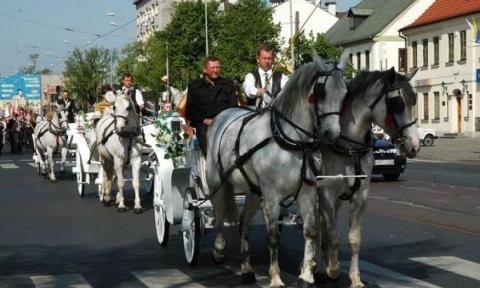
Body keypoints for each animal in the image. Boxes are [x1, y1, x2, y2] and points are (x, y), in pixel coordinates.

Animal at [206, 54, 348, 288]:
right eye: (321, 92)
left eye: (345, 92)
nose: (332, 134)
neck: (292, 141)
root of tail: (224, 114)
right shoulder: (271, 195)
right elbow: (273, 237)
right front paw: (275, 278)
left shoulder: (307, 192)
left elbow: (310, 231)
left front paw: (306, 276)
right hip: (218, 183)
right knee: (218, 215)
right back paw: (218, 251)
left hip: (254, 192)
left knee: (244, 223)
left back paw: (247, 270)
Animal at [316, 67, 422, 288]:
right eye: (397, 103)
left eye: (414, 100)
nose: (415, 145)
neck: (349, 146)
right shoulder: (326, 193)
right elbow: (333, 235)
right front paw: (333, 269)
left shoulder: (360, 196)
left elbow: (354, 239)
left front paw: (355, 278)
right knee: (317, 227)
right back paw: (320, 267)